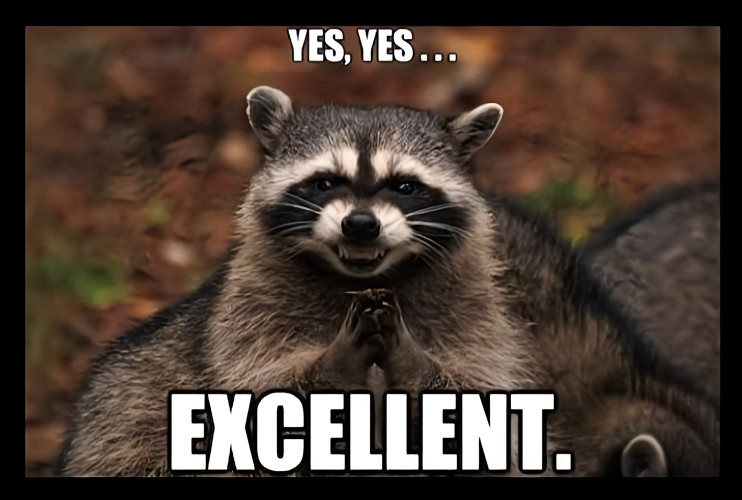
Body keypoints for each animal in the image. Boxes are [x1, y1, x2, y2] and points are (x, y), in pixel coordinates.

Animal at [58, 87, 718, 476]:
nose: (361, 223)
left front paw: (415, 363)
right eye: (324, 182)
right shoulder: (245, 317)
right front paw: (332, 366)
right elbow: (252, 405)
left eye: (405, 186)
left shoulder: (485, 318)